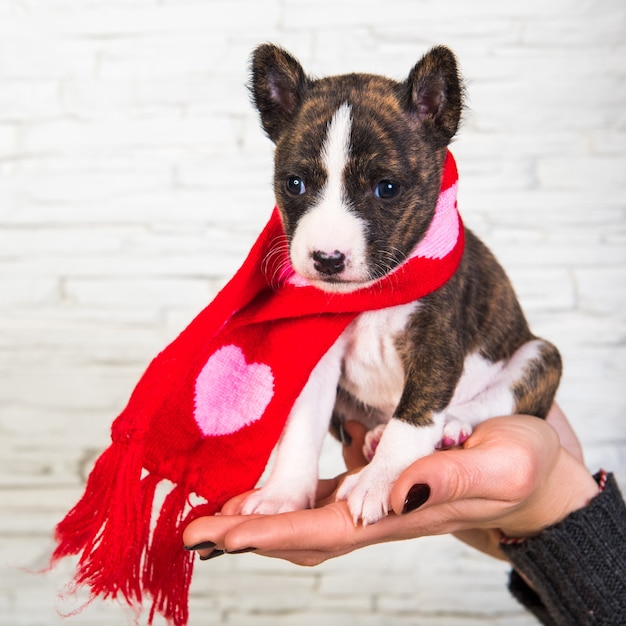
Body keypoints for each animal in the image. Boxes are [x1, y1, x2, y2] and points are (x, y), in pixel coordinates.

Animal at [238, 41, 560, 524]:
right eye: (294, 184)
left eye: (386, 188)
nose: (327, 260)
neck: (373, 295)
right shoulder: (319, 359)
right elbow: (301, 427)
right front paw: (284, 493)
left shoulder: (436, 345)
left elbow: (414, 418)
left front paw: (380, 481)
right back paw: (375, 435)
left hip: (538, 355)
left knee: (498, 397)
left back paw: (453, 425)